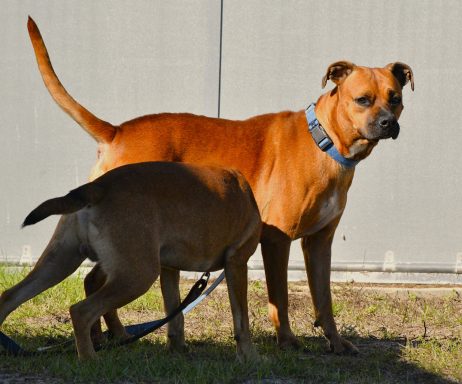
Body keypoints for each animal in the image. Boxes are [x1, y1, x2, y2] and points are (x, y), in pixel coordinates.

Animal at [0, 162, 262, 360]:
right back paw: (90, 360)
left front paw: (177, 350)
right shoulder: (237, 264)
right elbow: (242, 320)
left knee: (10, 297)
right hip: (136, 276)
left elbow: (175, 316)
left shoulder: (169, 270)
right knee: (81, 311)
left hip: (60, 263)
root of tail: (99, 186)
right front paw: (249, 356)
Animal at [26, 18, 416, 354]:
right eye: (363, 99)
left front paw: (335, 342)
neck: (325, 142)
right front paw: (287, 342)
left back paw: (110, 337)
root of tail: (117, 132)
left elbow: (324, 298)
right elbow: (280, 297)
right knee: (96, 285)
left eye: (395, 98)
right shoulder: (276, 240)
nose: (388, 123)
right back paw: (111, 336)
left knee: (92, 282)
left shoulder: (320, 242)